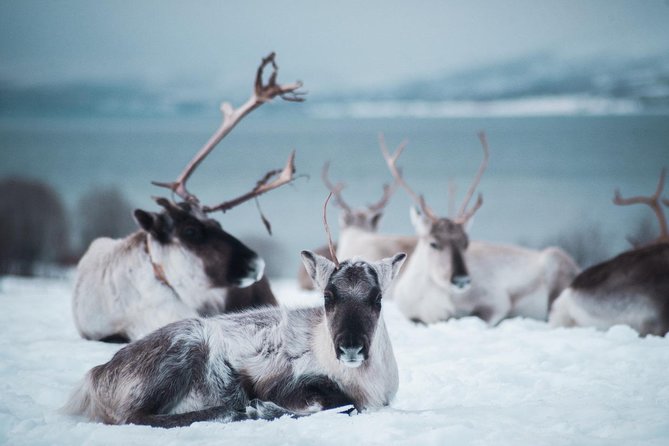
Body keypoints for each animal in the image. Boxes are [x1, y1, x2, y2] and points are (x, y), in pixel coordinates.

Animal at [65, 193, 407, 428]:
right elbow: (341, 403)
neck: (366, 382)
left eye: (377, 297)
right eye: (328, 296)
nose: (351, 347)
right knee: (134, 417)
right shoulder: (285, 382)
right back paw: (236, 410)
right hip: (181, 352)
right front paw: (263, 408)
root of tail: (95, 375)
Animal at [383, 133, 579, 325]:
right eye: (433, 243)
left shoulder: (496, 302)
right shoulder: (411, 313)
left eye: (465, 243)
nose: (461, 279)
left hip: (555, 266)